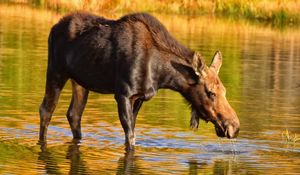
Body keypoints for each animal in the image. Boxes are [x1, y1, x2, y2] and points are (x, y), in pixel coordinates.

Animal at [39, 11, 240, 150]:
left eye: (225, 91)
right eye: (211, 92)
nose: (235, 127)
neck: (162, 74)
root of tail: (53, 28)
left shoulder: (140, 97)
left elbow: (132, 133)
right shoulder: (123, 94)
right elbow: (130, 138)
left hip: (81, 82)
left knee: (74, 114)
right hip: (56, 71)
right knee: (46, 110)